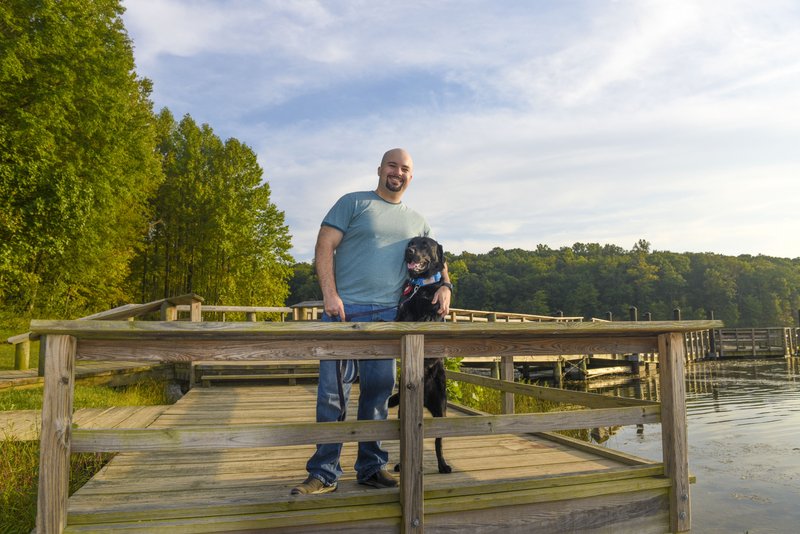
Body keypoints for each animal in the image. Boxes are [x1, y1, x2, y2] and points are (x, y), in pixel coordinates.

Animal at [390, 237, 454, 476]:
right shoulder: (402, 310)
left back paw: (443, 465)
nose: (409, 251)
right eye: (411, 242)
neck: (421, 285)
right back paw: (400, 465)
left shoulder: (434, 309)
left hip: (441, 409)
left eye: (425, 244)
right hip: (402, 410)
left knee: (438, 441)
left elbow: (430, 311)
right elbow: (404, 313)